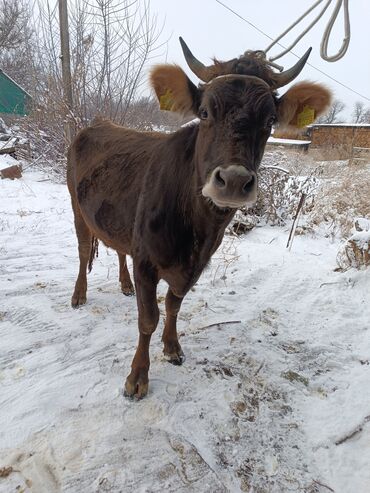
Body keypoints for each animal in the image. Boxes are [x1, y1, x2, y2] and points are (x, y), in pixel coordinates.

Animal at [68, 40, 330, 398]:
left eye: (270, 120)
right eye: (205, 112)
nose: (233, 180)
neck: (197, 229)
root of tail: (98, 123)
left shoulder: (196, 265)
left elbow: (173, 305)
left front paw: (172, 347)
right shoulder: (146, 260)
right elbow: (148, 319)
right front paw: (138, 376)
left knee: (118, 247)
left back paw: (123, 285)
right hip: (76, 206)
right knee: (83, 252)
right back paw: (79, 295)